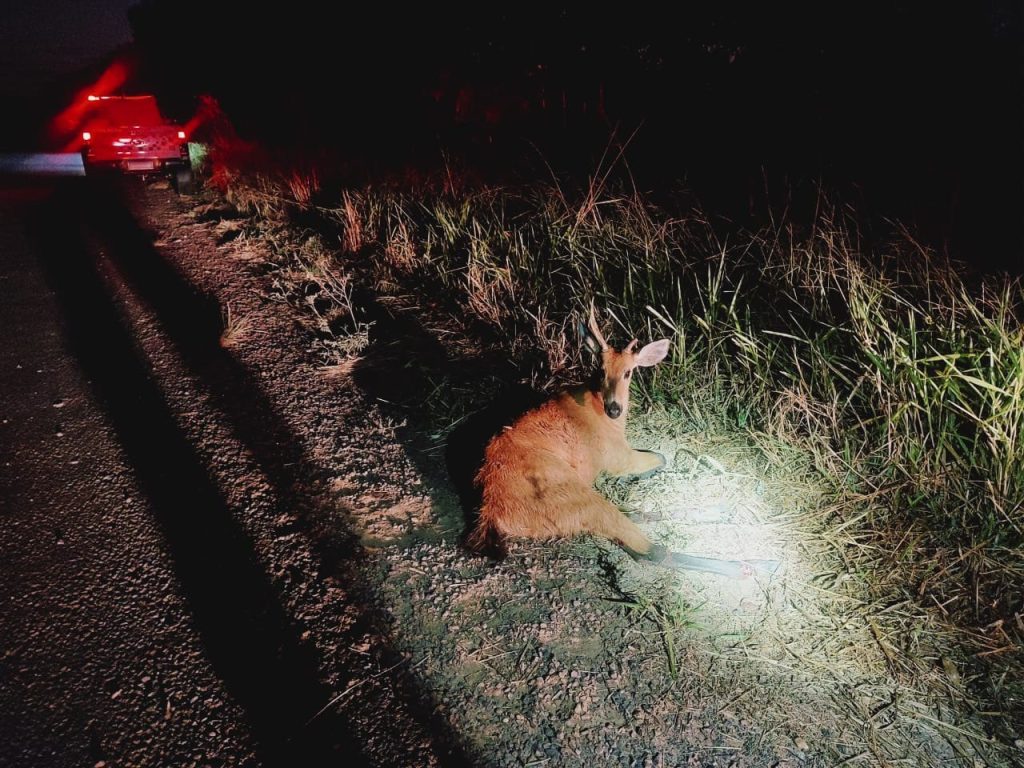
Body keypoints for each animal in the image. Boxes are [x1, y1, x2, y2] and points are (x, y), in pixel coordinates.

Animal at [468, 305, 780, 579]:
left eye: (629, 372)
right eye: (600, 370)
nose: (614, 408)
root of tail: (492, 514)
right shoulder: (617, 457)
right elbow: (662, 456)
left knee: (633, 516)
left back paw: (725, 513)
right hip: (571, 495)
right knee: (651, 550)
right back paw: (756, 566)